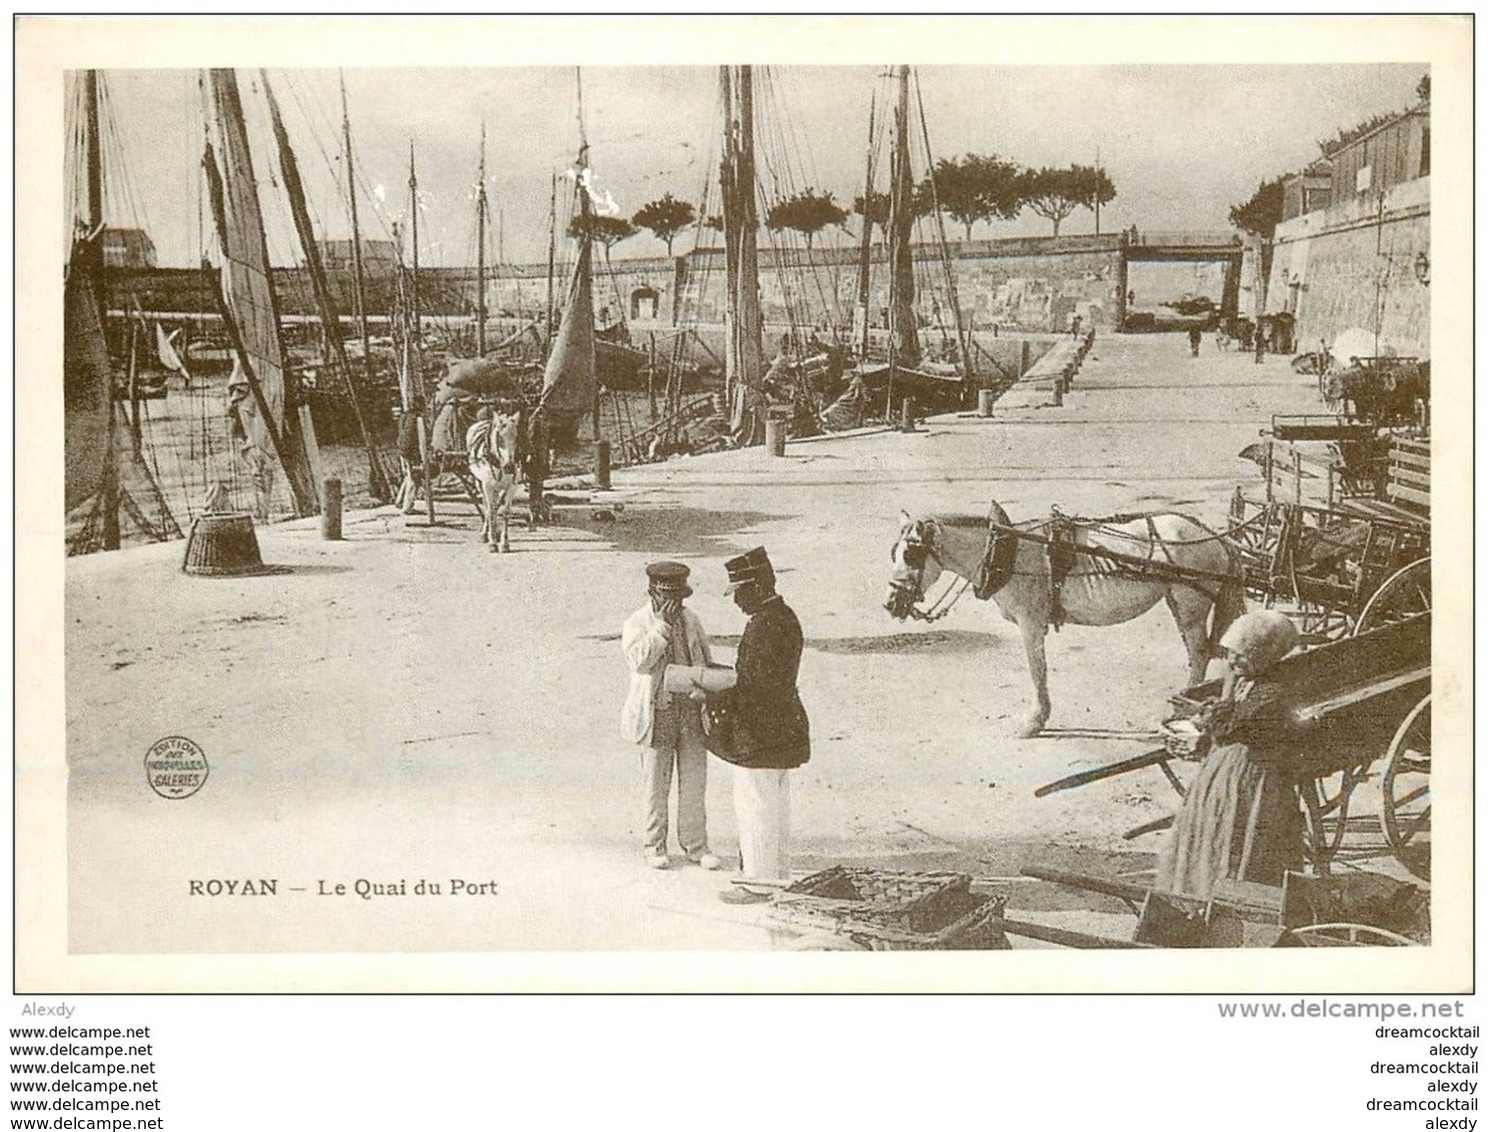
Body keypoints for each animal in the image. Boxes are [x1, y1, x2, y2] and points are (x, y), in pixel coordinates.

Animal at [464, 410, 523, 553]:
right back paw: (485, 534)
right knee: (487, 506)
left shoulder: (512, 486)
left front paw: (504, 543)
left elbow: (505, 512)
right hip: (479, 483)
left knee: (495, 507)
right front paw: (493, 543)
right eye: (500, 438)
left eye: (516, 437)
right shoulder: (487, 486)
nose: (510, 467)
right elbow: (490, 511)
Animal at [886, 499, 1249, 731]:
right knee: (1197, 652)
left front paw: (1035, 721)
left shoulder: (1031, 622)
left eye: (911, 553)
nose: (891, 603)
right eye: (895, 552)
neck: (1006, 550)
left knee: (1199, 653)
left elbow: (1037, 671)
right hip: (1178, 601)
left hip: (1191, 604)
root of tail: (1217, 537)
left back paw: (1182, 708)